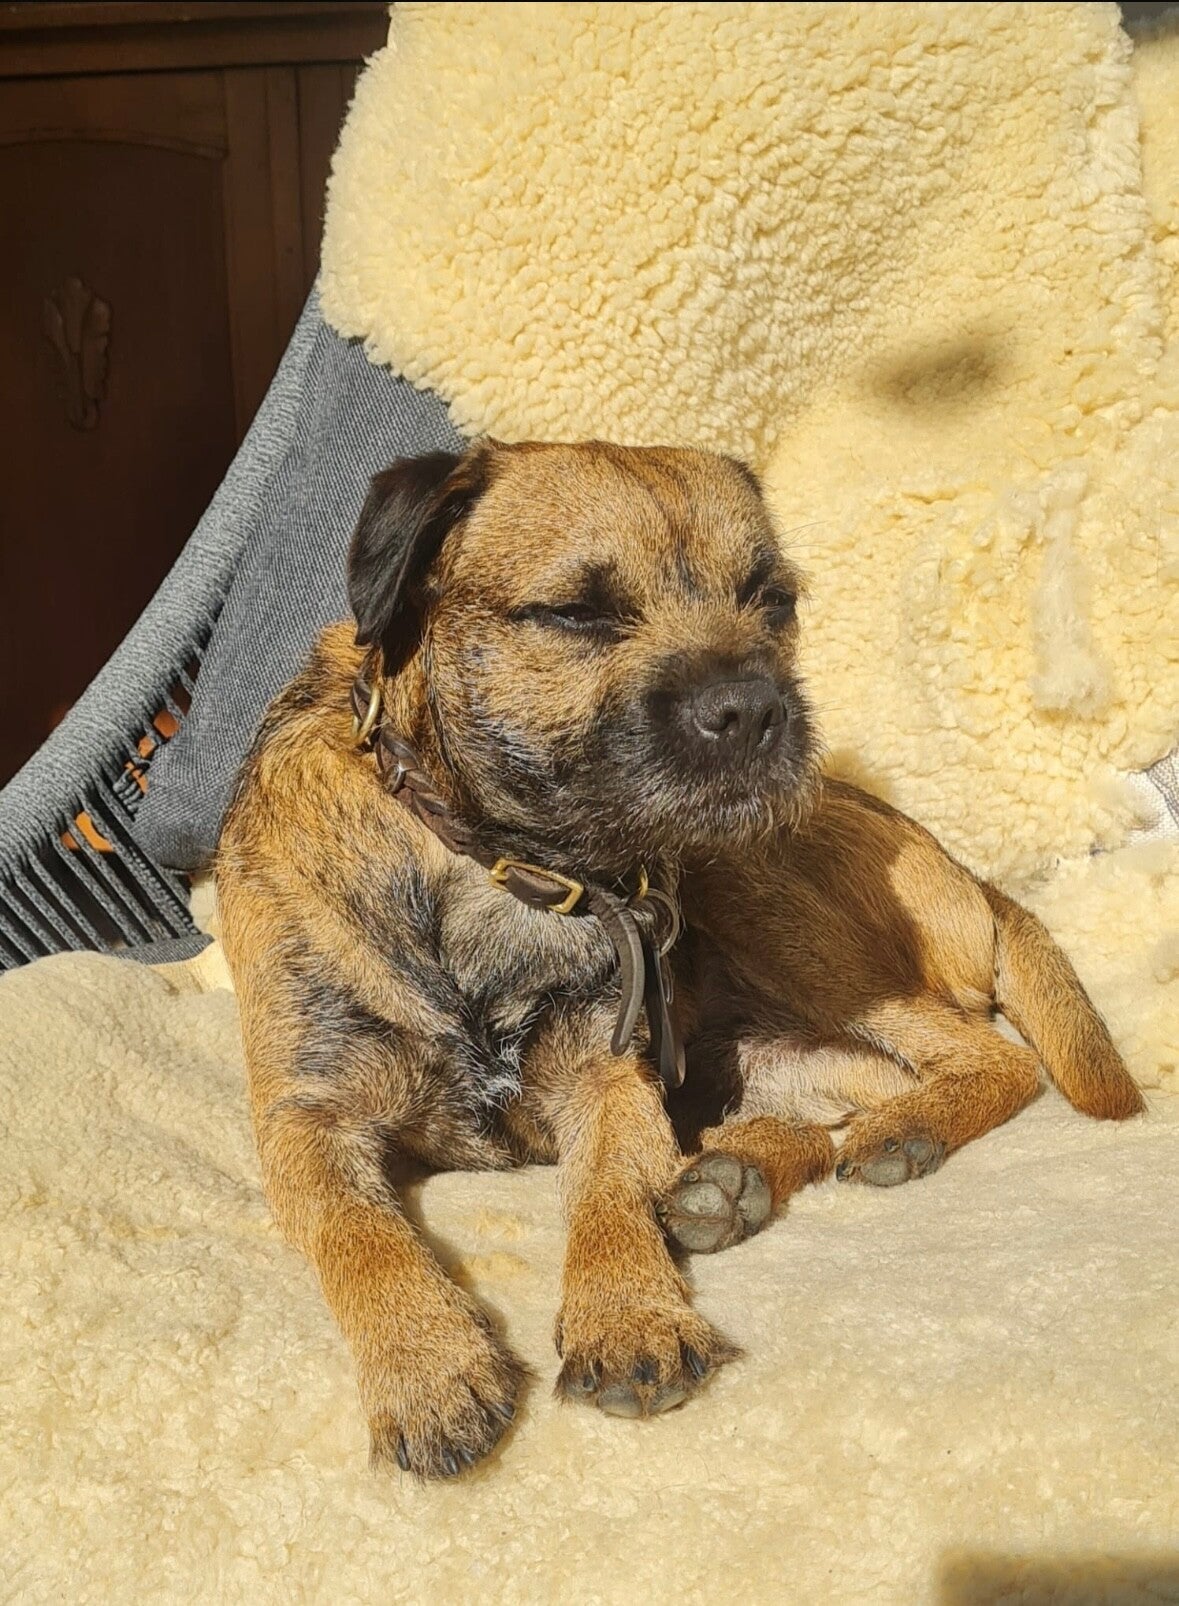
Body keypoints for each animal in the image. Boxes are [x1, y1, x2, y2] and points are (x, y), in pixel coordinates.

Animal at [215, 439, 1144, 1479]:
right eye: (577, 613)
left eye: (772, 600)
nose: (753, 708)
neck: (500, 865)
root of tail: (973, 876)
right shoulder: (306, 1120)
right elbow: (361, 1233)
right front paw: (428, 1368)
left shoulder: (608, 1077)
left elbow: (611, 1196)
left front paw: (628, 1317)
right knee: (826, 1105)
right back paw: (731, 1180)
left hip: (757, 888)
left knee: (988, 1057)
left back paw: (892, 1137)